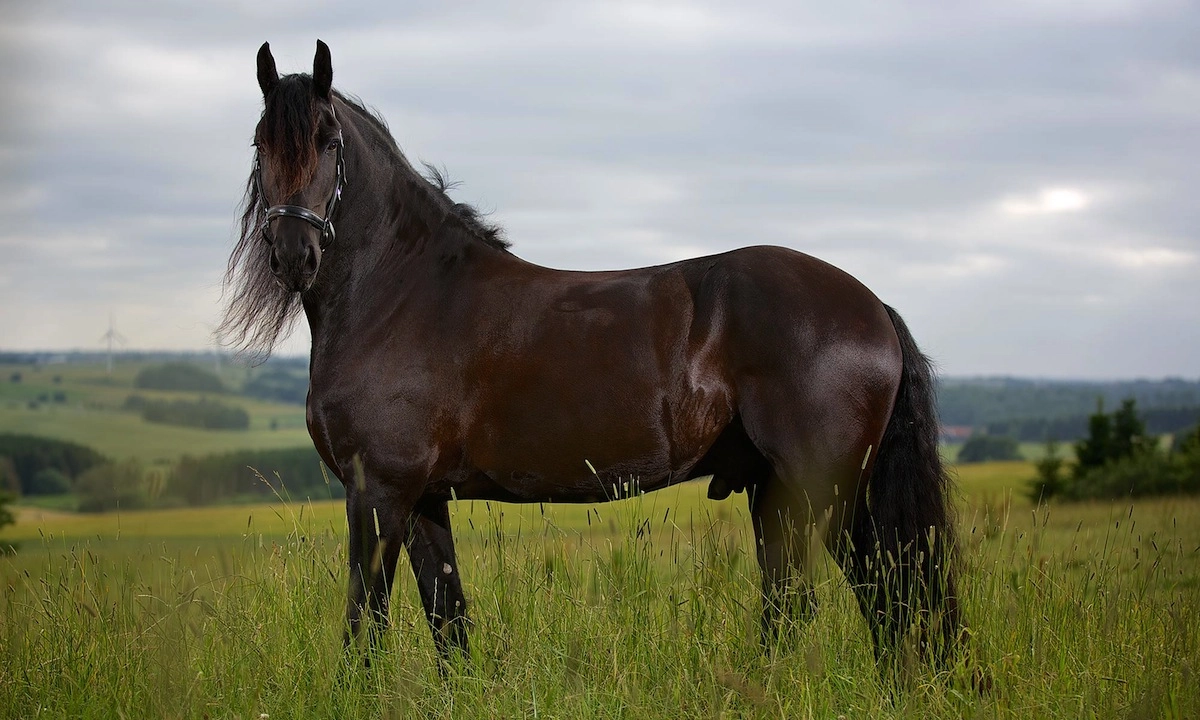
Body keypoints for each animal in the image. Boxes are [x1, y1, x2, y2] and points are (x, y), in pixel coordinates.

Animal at [223, 37, 964, 667]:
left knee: (836, 602)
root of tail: (873, 307)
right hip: (796, 494)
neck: (403, 291)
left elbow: (364, 630)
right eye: (260, 142)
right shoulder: (424, 498)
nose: (293, 254)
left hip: (818, 492)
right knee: (861, 602)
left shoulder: (378, 492)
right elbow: (449, 626)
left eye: (328, 140)